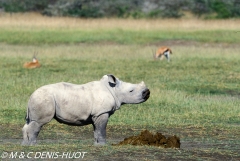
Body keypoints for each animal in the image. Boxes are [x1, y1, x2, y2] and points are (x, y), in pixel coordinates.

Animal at [22, 75, 150, 145]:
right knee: (38, 123)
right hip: (44, 99)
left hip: (39, 99)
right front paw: (103, 145)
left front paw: (97, 144)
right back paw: (33, 145)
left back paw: (25, 144)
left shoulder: (96, 114)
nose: (147, 92)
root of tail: (31, 96)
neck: (113, 89)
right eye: (131, 91)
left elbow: (96, 131)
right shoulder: (102, 112)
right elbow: (102, 129)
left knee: (29, 122)